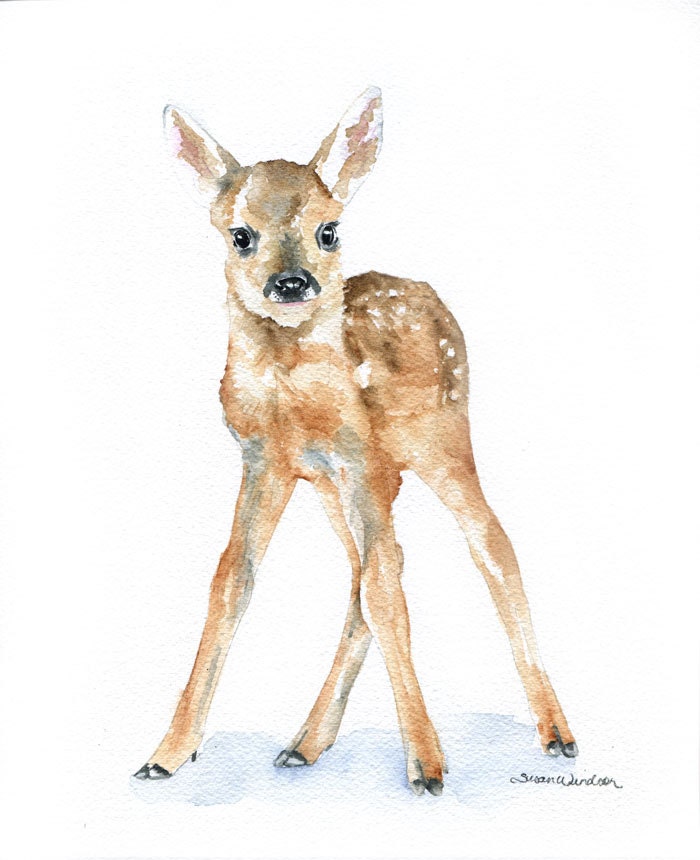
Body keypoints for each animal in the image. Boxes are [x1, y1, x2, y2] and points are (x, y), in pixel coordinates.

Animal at [133, 87, 577, 796]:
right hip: (342, 484)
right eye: (240, 234)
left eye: (329, 230)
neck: (293, 401)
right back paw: (303, 745)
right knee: (371, 569)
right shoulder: (266, 461)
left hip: (438, 441)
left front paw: (428, 767)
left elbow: (384, 592)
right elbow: (233, 581)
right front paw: (167, 754)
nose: (292, 284)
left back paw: (557, 734)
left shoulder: (357, 456)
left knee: (486, 546)